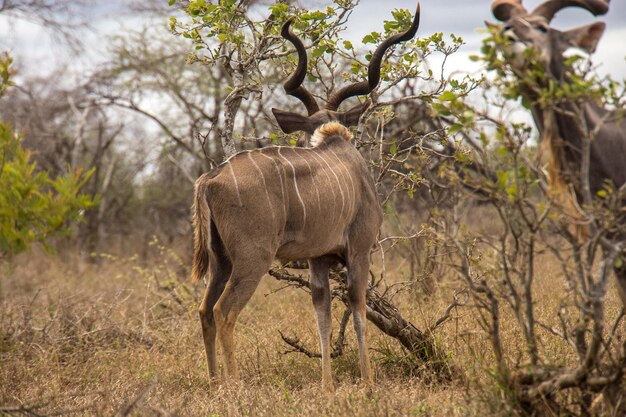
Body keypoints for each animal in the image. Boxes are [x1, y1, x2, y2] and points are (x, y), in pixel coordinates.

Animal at [190, 5, 420, 390]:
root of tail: (211, 178)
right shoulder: (358, 250)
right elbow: (358, 309)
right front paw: (368, 383)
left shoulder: (318, 259)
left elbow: (322, 314)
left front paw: (327, 387)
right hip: (253, 258)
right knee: (224, 311)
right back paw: (234, 386)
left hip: (221, 260)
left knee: (205, 309)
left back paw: (213, 383)